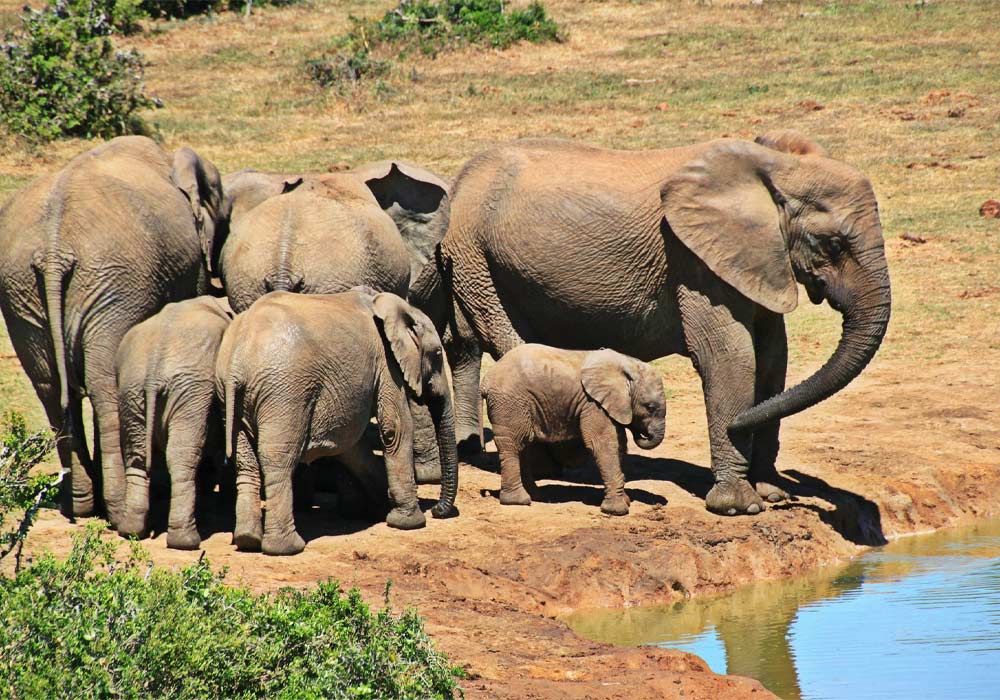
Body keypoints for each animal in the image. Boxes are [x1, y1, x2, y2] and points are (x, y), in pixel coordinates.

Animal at [0, 136, 228, 526]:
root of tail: (53, 250)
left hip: (23, 293)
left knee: (51, 389)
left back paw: (79, 505)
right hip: (114, 285)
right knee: (105, 387)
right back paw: (119, 512)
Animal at [115, 295, 235, 549]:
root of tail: (153, 373)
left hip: (130, 390)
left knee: (137, 456)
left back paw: (131, 531)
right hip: (191, 391)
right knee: (183, 457)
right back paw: (186, 541)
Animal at [214, 289, 458, 556]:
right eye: (437, 355)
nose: (438, 511)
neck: (394, 306)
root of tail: (237, 361)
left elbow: (352, 446)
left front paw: (380, 509)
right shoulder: (386, 363)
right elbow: (395, 429)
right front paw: (409, 522)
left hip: (232, 396)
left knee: (245, 463)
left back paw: (247, 540)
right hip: (284, 394)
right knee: (278, 462)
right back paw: (286, 548)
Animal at [481, 344, 667, 515]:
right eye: (650, 407)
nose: (642, 433)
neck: (628, 365)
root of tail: (486, 380)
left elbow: (619, 444)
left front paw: (626, 501)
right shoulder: (593, 404)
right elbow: (603, 445)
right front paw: (617, 511)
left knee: (524, 446)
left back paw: (536, 496)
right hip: (509, 403)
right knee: (513, 445)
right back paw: (518, 501)